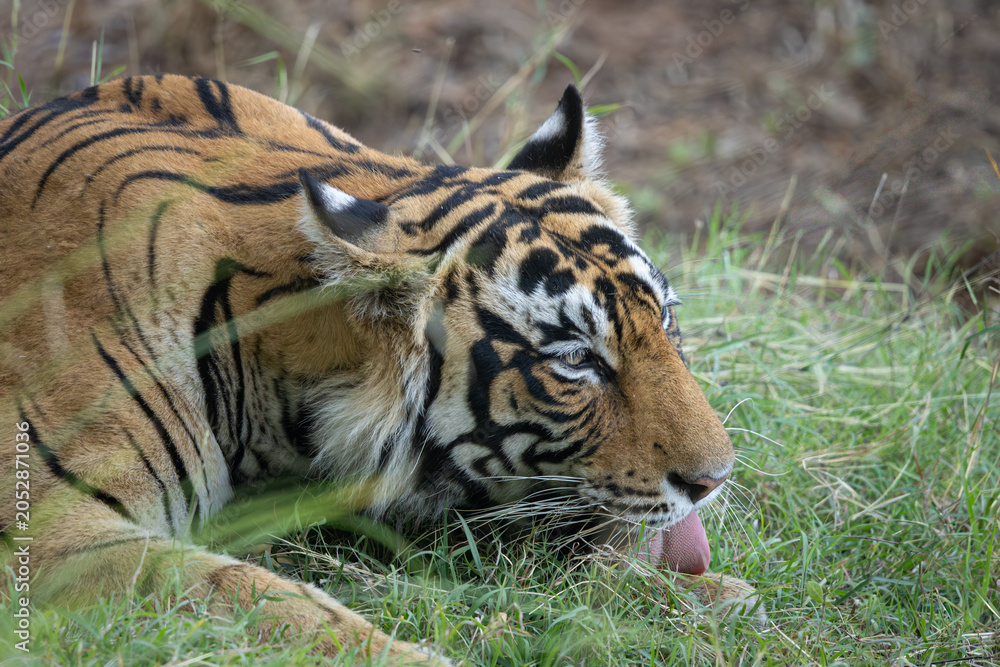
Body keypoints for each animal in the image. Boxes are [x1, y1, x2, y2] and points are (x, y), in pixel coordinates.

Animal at [0, 75, 752, 663]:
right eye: (575, 360)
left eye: (667, 319)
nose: (714, 480)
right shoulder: (54, 536)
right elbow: (258, 598)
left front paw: (705, 595)